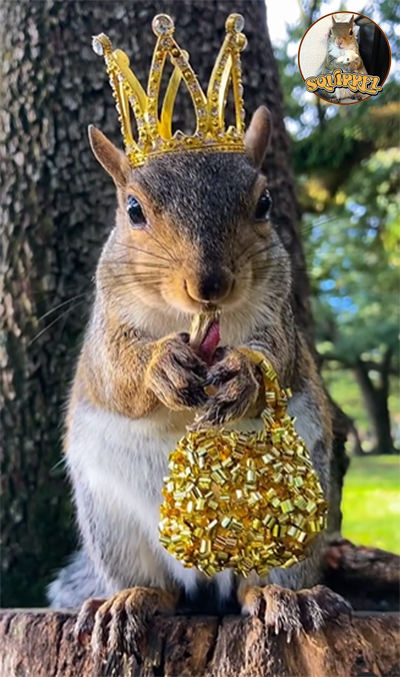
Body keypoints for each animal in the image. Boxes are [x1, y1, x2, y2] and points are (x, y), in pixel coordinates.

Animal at [47, 105, 351, 664]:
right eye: (133, 210)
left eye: (264, 203)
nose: (209, 285)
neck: (189, 319)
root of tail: (206, 569)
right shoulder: (106, 331)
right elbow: (118, 371)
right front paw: (159, 367)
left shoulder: (280, 320)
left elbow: (277, 358)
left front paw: (246, 376)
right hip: (112, 526)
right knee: (159, 589)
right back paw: (127, 600)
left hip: (293, 533)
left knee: (259, 584)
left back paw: (283, 596)